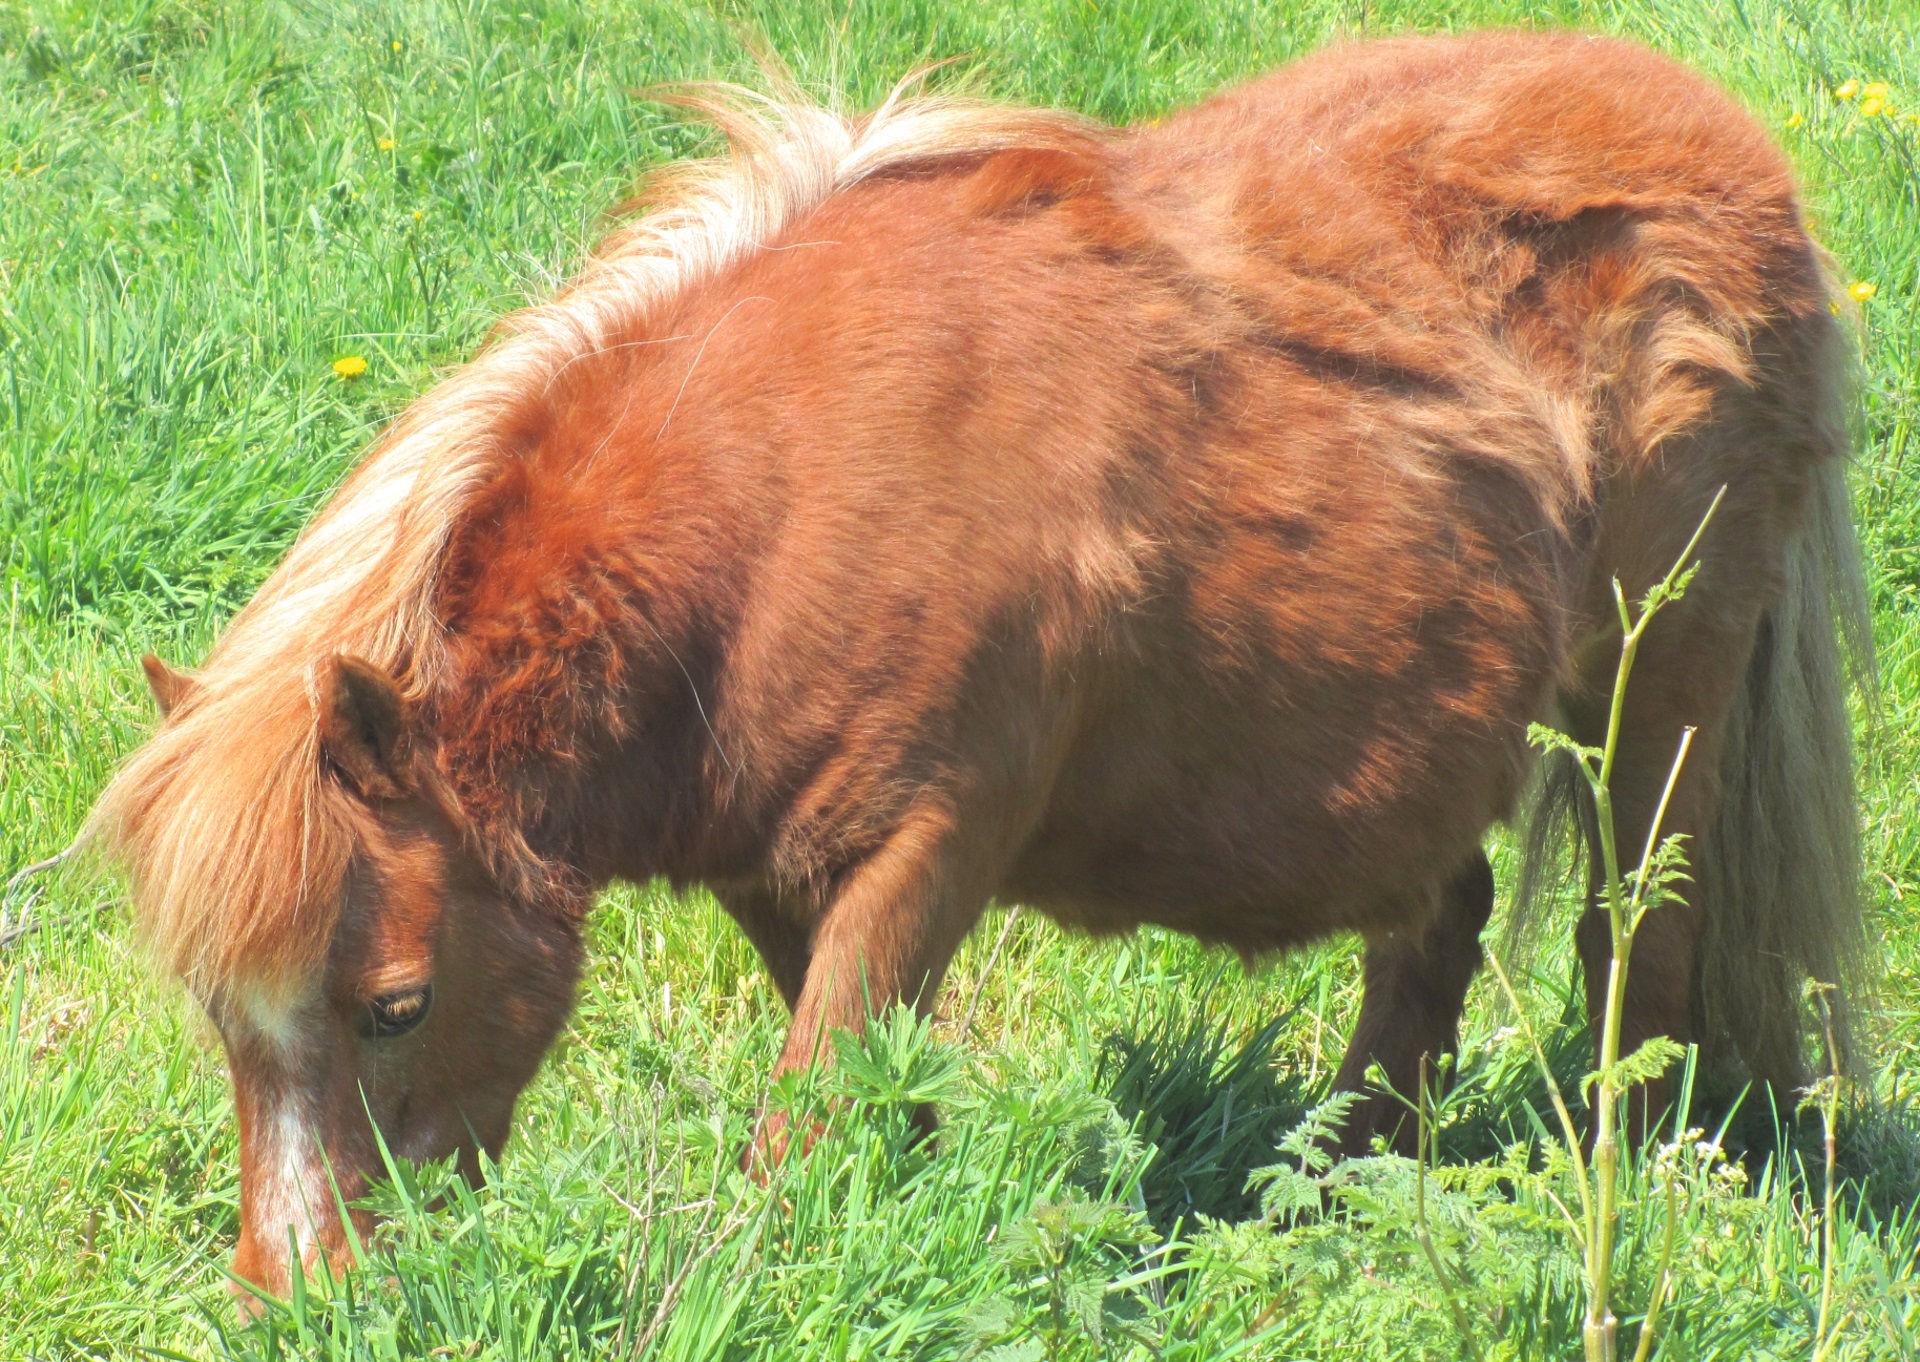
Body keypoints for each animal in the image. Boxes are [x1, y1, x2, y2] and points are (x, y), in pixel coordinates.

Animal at [93, 31, 1873, 1298]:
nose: (292, 1301)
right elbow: (879, 1093)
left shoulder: (932, 833)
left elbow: (810, 1119)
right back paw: (1344, 1186)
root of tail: (1742, 168)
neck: (775, 496)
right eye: (223, 1023)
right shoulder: (783, 875)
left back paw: (1615, 1190)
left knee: (1635, 951)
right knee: (1436, 936)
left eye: (392, 1005)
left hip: (1665, 703)